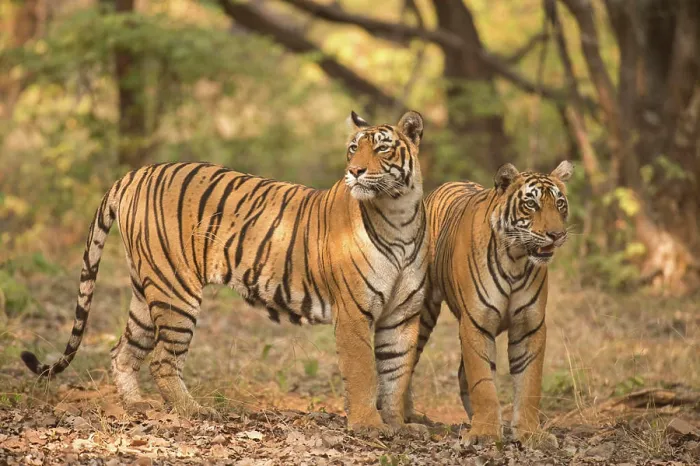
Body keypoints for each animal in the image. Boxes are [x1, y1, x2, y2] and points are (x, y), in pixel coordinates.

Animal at [21, 110, 430, 432]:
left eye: (382, 148)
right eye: (352, 148)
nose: (354, 171)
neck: (398, 215)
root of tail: (135, 173)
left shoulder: (402, 314)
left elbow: (396, 373)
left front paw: (399, 425)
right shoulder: (353, 312)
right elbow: (364, 373)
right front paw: (369, 427)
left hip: (145, 289)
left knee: (122, 352)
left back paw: (137, 406)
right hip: (176, 290)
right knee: (162, 361)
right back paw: (194, 411)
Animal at [407, 161, 573, 443]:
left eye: (560, 204)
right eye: (532, 204)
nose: (556, 234)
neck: (516, 259)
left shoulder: (530, 326)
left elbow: (529, 382)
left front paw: (529, 432)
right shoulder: (476, 322)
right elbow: (482, 381)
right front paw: (485, 432)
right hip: (424, 309)